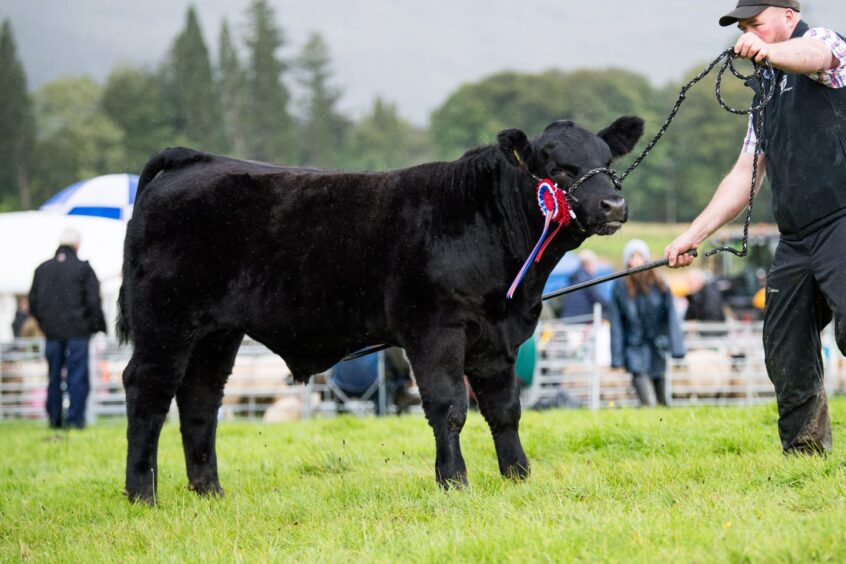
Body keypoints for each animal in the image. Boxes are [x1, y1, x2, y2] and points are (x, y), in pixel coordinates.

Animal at [117, 114, 644, 502]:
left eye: (606, 160)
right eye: (560, 168)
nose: (614, 205)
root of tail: (194, 160)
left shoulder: (498, 336)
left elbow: (505, 410)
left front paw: (518, 476)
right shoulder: (434, 329)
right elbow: (449, 407)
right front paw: (454, 481)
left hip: (216, 332)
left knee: (201, 398)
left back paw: (210, 492)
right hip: (165, 319)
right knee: (149, 389)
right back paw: (142, 493)